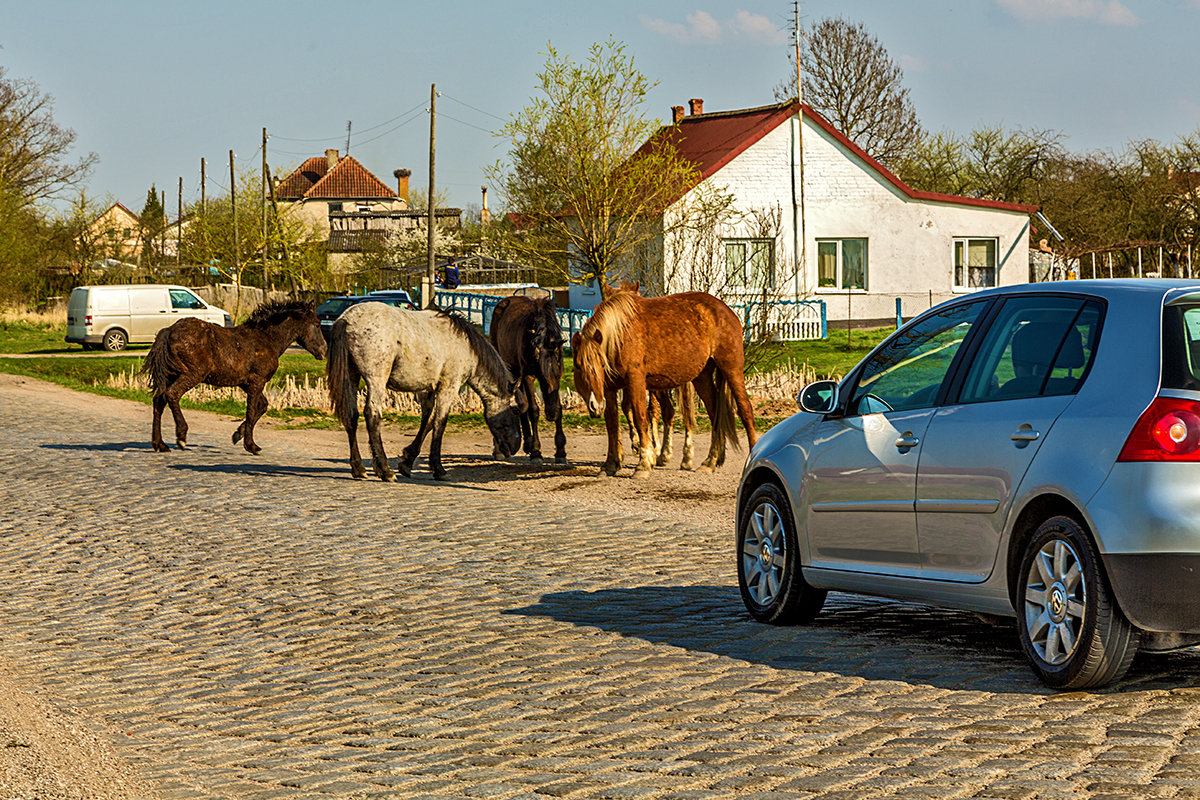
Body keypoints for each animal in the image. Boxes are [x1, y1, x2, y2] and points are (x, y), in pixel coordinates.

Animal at [142, 297, 326, 453]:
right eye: (316, 325)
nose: (324, 351)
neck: (268, 339)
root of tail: (168, 331)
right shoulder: (257, 381)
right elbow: (251, 410)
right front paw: (251, 445)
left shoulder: (245, 383)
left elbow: (262, 406)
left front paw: (238, 434)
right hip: (192, 374)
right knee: (172, 394)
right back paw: (181, 436)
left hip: (171, 375)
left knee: (159, 401)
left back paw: (159, 444)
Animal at [487, 293, 566, 462]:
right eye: (542, 377)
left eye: (558, 376)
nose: (551, 415)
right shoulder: (529, 376)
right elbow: (533, 411)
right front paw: (536, 451)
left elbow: (558, 406)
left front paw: (561, 451)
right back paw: (500, 450)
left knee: (522, 404)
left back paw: (527, 443)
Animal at [573, 287, 758, 474]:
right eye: (578, 366)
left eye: (602, 364)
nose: (595, 405)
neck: (618, 336)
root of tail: (726, 310)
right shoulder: (609, 388)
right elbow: (612, 423)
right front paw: (611, 463)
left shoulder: (635, 380)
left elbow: (640, 418)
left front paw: (644, 464)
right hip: (702, 377)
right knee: (714, 414)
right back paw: (710, 461)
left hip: (732, 369)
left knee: (745, 411)